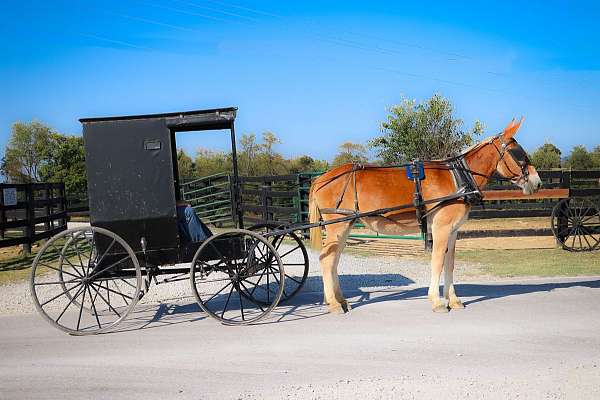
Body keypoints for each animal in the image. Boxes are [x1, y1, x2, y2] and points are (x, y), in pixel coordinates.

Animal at [310, 118, 544, 312]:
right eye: (519, 153)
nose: (537, 182)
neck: (457, 177)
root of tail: (320, 179)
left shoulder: (453, 231)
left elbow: (449, 263)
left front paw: (454, 300)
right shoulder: (441, 228)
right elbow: (437, 261)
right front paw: (437, 301)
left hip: (345, 226)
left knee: (334, 260)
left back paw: (340, 300)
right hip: (337, 226)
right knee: (326, 259)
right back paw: (334, 304)